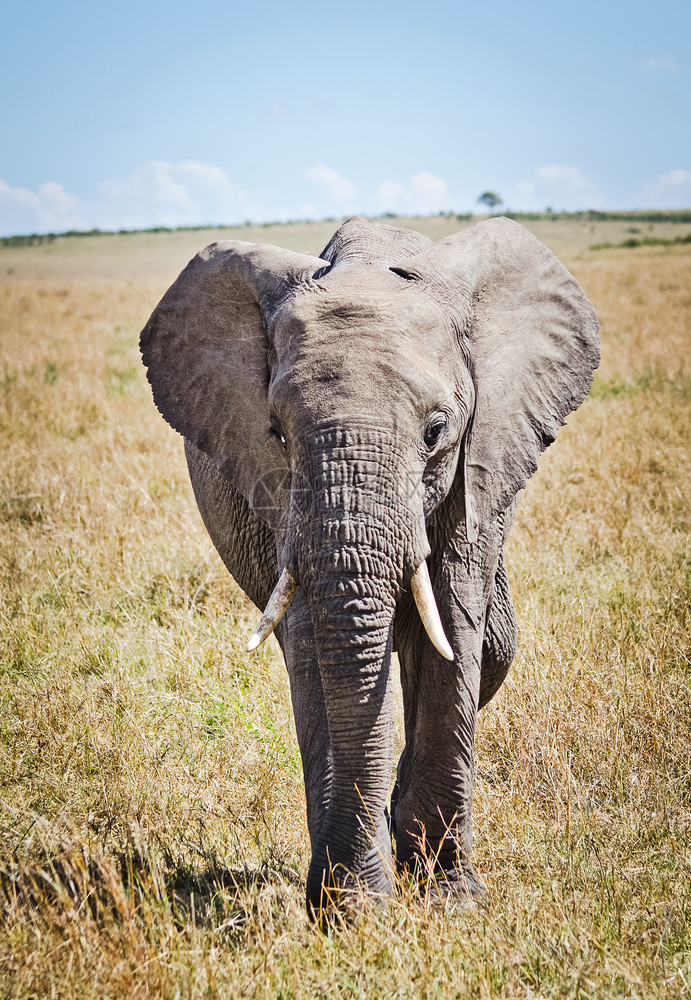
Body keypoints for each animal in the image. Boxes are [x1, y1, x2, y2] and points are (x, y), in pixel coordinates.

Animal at [141, 215, 600, 916]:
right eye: (276, 432)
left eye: (436, 432)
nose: (351, 899)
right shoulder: (285, 502)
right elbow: (320, 647)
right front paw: (350, 907)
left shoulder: (477, 463)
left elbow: (453, 624)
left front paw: (448, 899)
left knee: (495, 641)